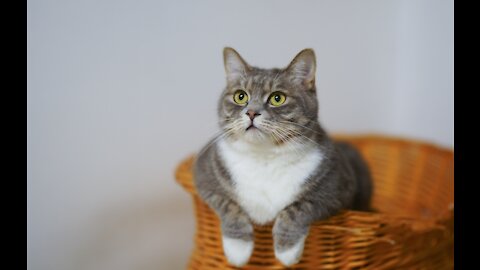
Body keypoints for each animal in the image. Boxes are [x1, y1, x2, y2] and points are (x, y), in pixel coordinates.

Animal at [193, 47, 374, 266]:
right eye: (240, 96)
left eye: (277, 98)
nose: (251, 112)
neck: (264, 157)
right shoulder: (204, 174)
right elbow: (228, 204)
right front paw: (238, 248)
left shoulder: (337, 186)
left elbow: (299, 206)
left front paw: (287, 250)